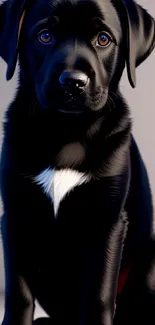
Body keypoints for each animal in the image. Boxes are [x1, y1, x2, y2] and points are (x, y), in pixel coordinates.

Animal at [0, 0, 155, 322]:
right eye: (45, 36)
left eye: (103, 39)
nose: (73, 83)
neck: (67, 132)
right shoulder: (15, 215)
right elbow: (18, 294)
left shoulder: (108, 221)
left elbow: (99, 295)